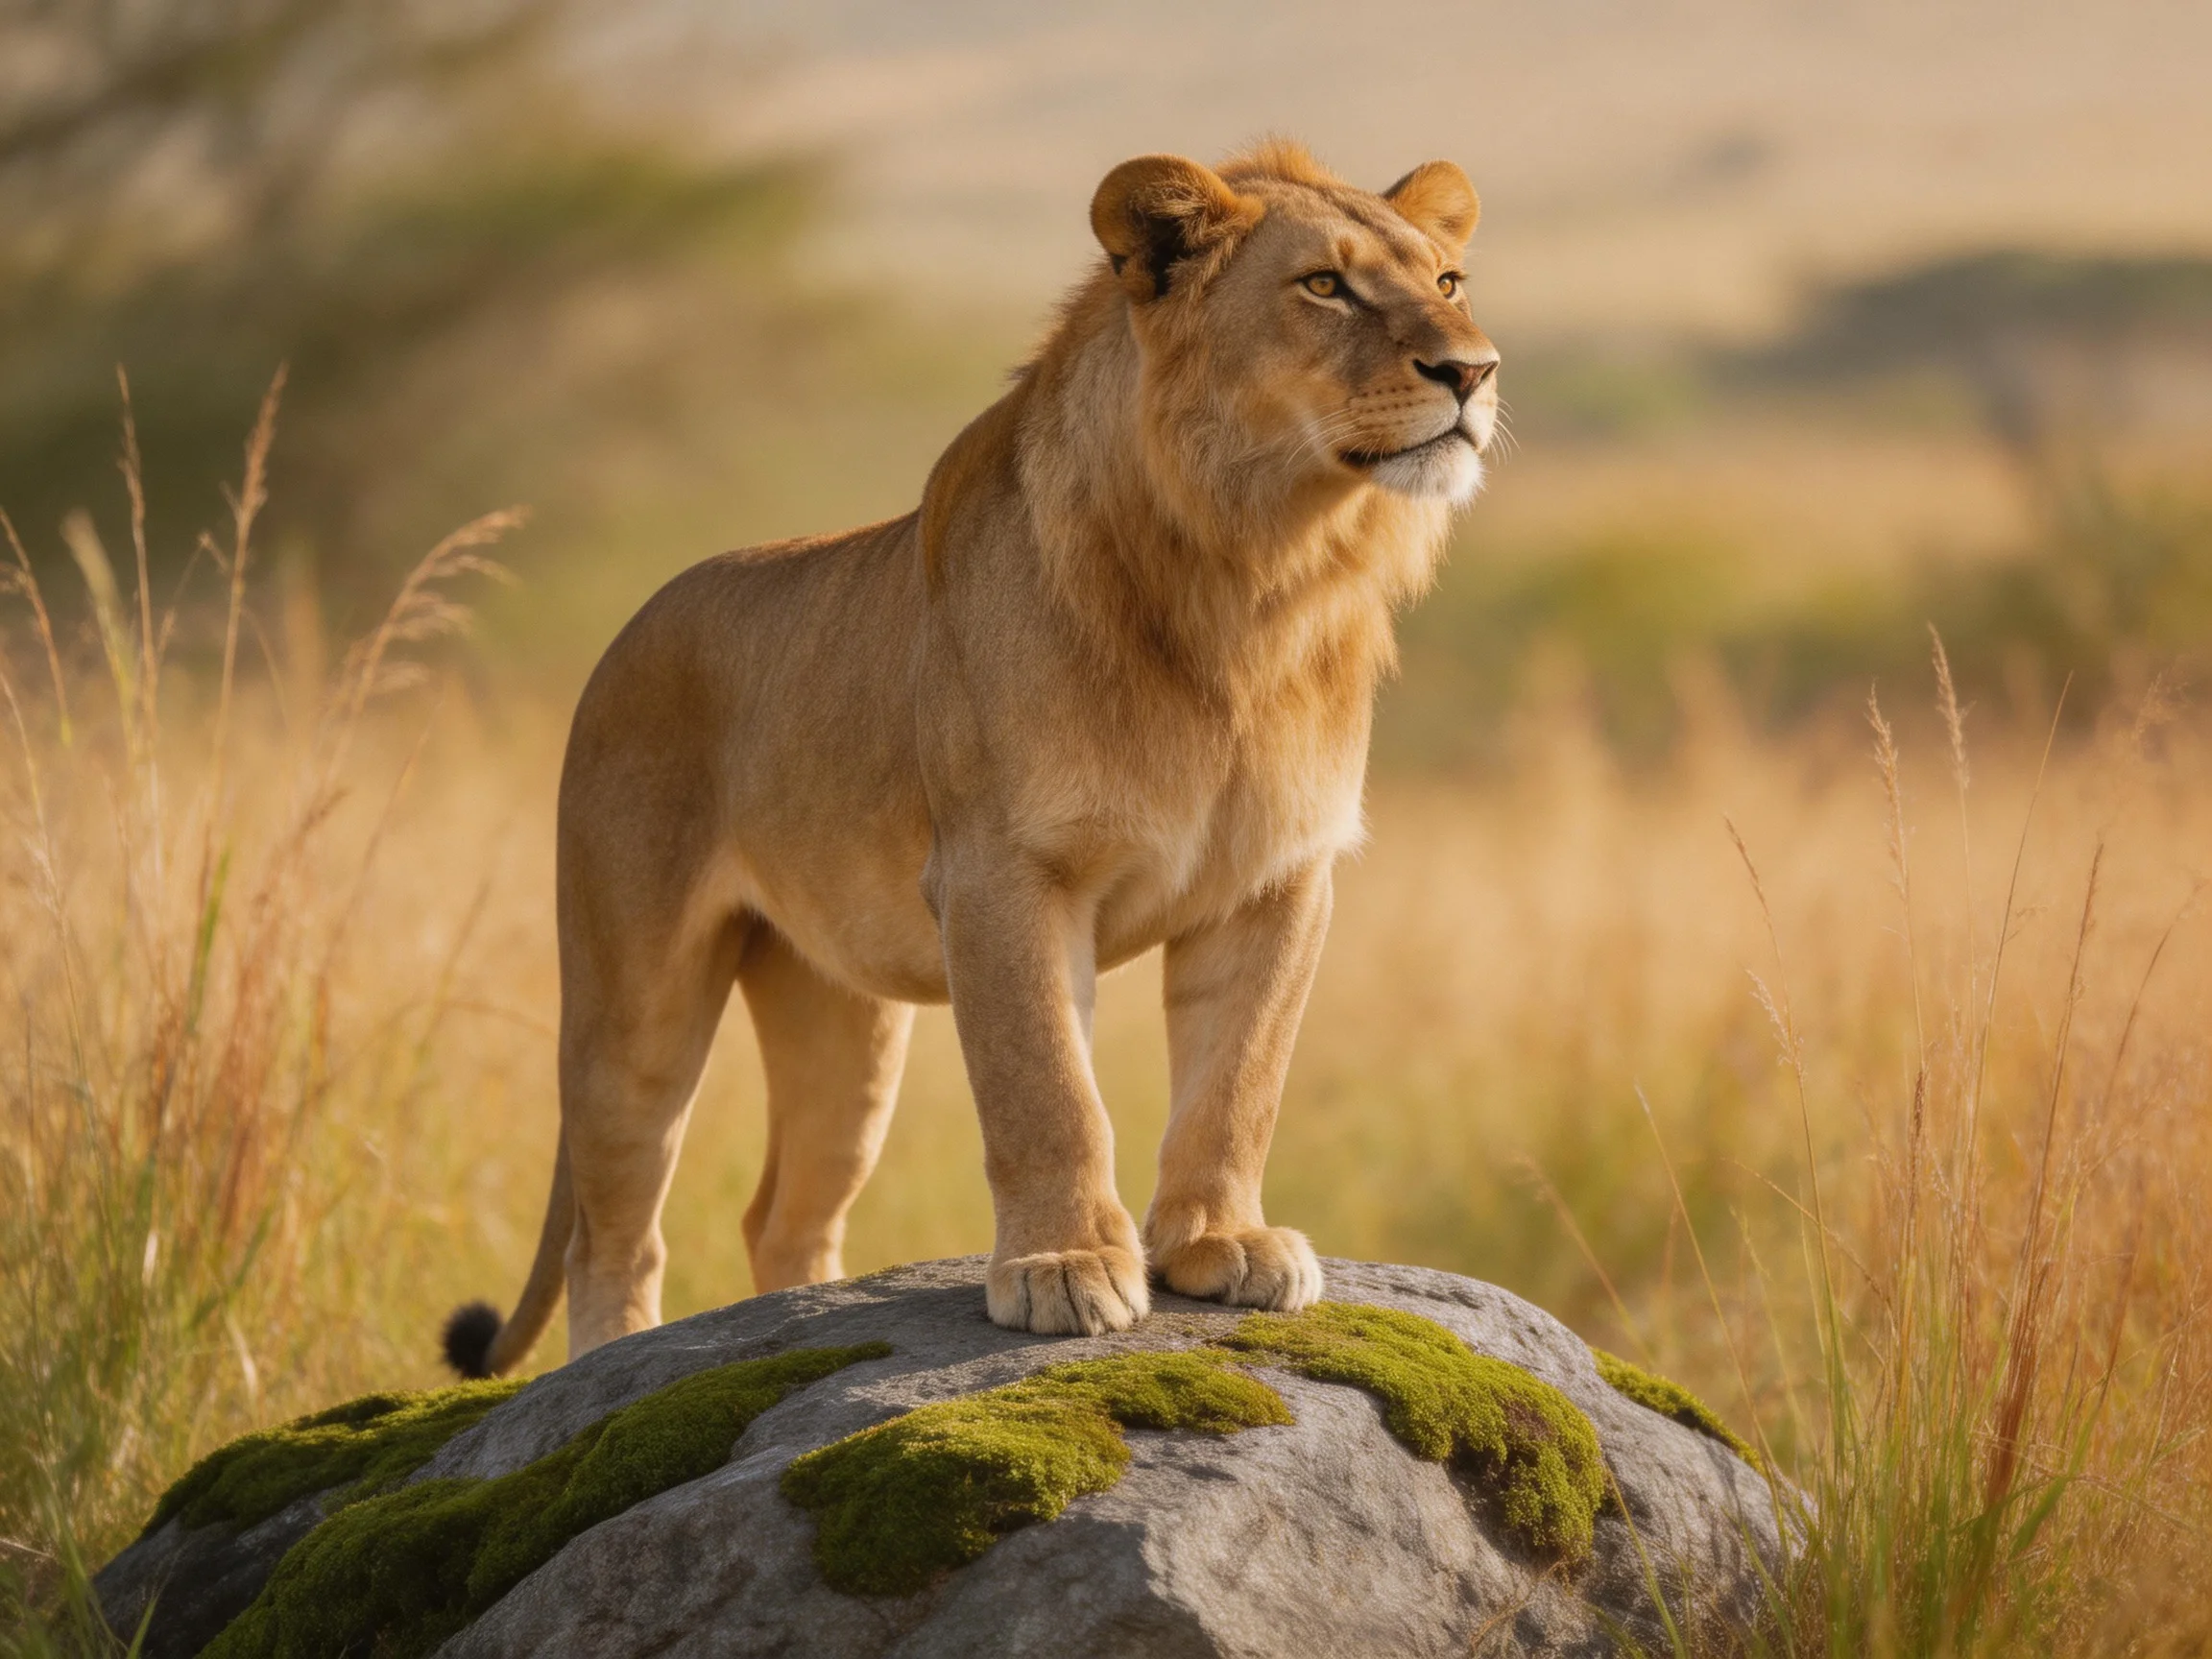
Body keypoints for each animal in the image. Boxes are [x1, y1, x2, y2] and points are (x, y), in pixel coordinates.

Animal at [442, 139, 1499, 1377]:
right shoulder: (1004, 872)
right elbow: (1047, 1088)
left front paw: (1220, 1242)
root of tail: (626, 631)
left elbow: (1239, 1080)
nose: (1474, 372)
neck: (1256, 569)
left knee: (784, 1212)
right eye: (1324, 286)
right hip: (632, 998)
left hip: (839, 1018)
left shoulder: (1278, 879)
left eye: (1448, 282)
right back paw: (616, 1361)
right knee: (614, 1227)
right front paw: (1064, 1267)